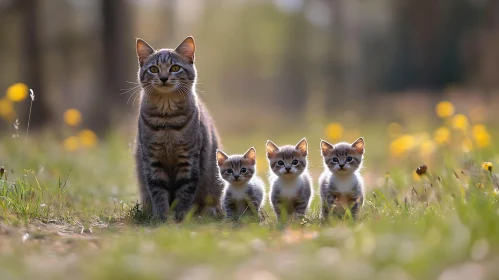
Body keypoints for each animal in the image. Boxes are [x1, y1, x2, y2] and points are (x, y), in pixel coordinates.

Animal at [136, 37, 224, 222]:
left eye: (175, 68)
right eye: (154, 69)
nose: (163, 78)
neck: (167, 119)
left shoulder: (189, 159)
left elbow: (185, 191)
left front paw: (180, 216)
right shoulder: (152, 160)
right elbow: (157, 190)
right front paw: (161, 216)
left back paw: (210, 211)